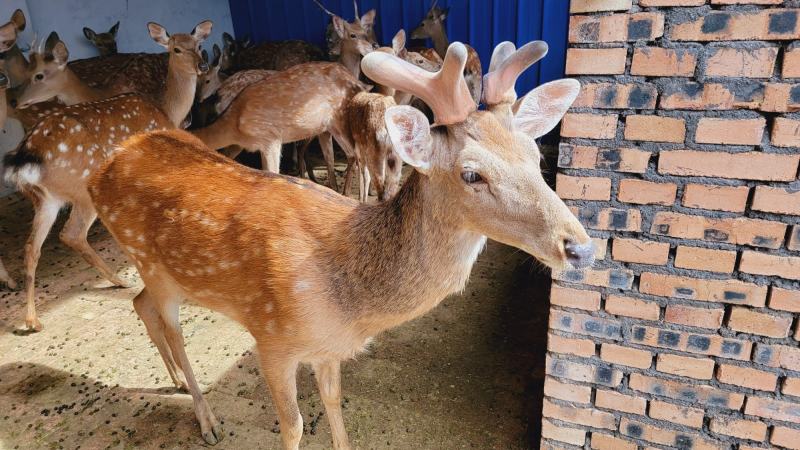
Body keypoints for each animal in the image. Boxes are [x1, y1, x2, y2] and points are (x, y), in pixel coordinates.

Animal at [2, 20, 212, 332]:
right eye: (175, 48)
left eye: (198, 44)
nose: (202, 65)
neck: (165, 110)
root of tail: (24, 157)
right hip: (82, 186)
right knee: (72, 234)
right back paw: (120, 279)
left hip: (44, 199)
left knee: (30, 248)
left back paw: (32, 320)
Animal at [86, 39, 592, 449]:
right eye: (471, 174)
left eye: (535, 154)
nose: (581, 247)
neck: (347, 303)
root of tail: (102, 169)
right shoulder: (271, 339)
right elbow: (293, 427)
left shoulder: (326, 349)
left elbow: (333, 403)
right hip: (150, 262)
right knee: (169, 324)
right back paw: (206, 419)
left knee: (140, 304)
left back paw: (172, 380)